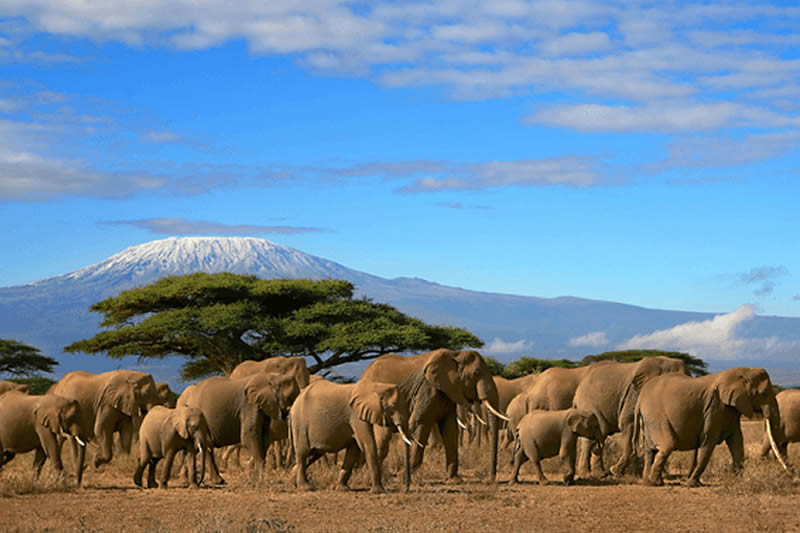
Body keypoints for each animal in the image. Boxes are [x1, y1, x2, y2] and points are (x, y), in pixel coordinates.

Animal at [354, 348, 506, 484]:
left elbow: (450, 429)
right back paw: (366, 478)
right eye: (476, 373)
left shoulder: (447, 392)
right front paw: (402, 477)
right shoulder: (428, 390)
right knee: (382, 440)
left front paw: (454, 480)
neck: (455, 354)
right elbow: (421, 424)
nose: (490, 480)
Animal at [636, 366, 780, 486]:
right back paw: (654, 483)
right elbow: (708, 442)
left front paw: (739, 482)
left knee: (650, 450)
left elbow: (737, 442)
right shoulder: (714, 408)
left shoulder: (731, 410)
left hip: (649, 419)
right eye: (764, 394)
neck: (744, 372)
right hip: (655, 415)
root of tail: (640, 396)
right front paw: (692, 484)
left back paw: (648, 481)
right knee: (667, 446)